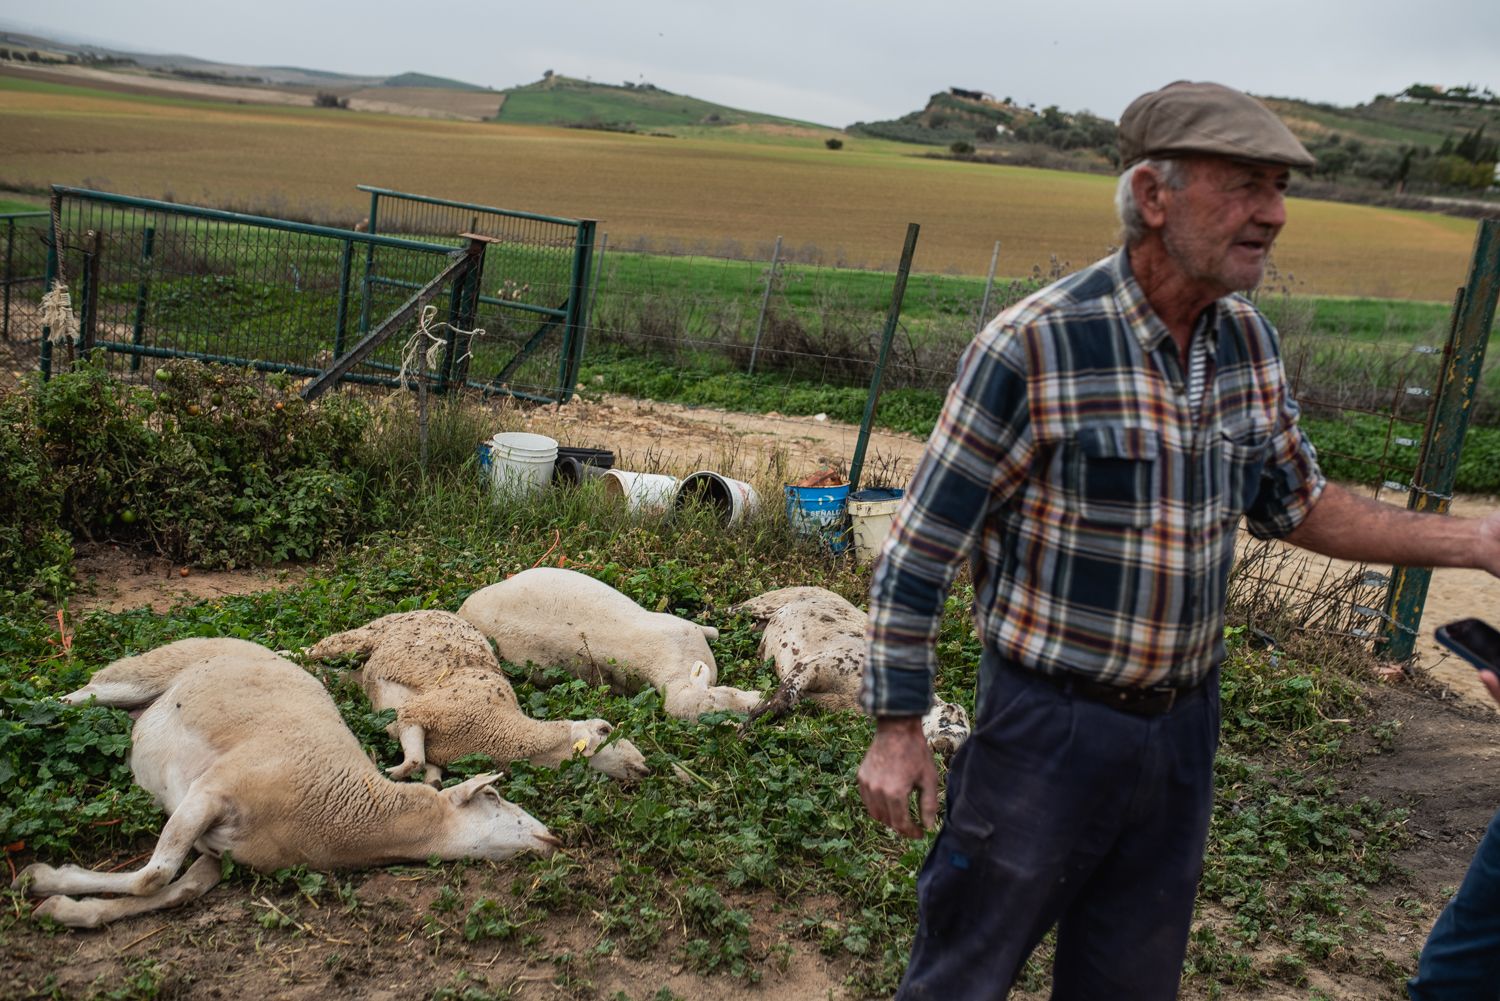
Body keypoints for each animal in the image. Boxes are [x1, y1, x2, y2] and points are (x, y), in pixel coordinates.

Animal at [14, 639, 558, 930]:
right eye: (494, 795)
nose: (553, 838)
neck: (345, 809)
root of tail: (251, 642)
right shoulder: (208, 793)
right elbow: (155, 876)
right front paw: (41, 879)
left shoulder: (218, 851)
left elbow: (178, 889)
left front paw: (62, 906)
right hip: (134, 675)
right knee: (64, 700)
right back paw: (23, 710)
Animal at [306, 606, 651, 786]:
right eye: (605, 730)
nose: (646, 768)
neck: (499, 728)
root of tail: (436, 609)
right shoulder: (419, 711)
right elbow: (415, 759)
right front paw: (391, 772)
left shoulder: (436, 748)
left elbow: (429, 773)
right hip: (369, 633)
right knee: (321, 646)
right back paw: (294, 654)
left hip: (362, 672)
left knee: (343, 675)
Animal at [729, 582, 972, 756]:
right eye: (951, 720)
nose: (946, 749)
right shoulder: (812, 665)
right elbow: (779, 701)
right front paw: (746, 728)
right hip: (765, 602)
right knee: (731, 609)